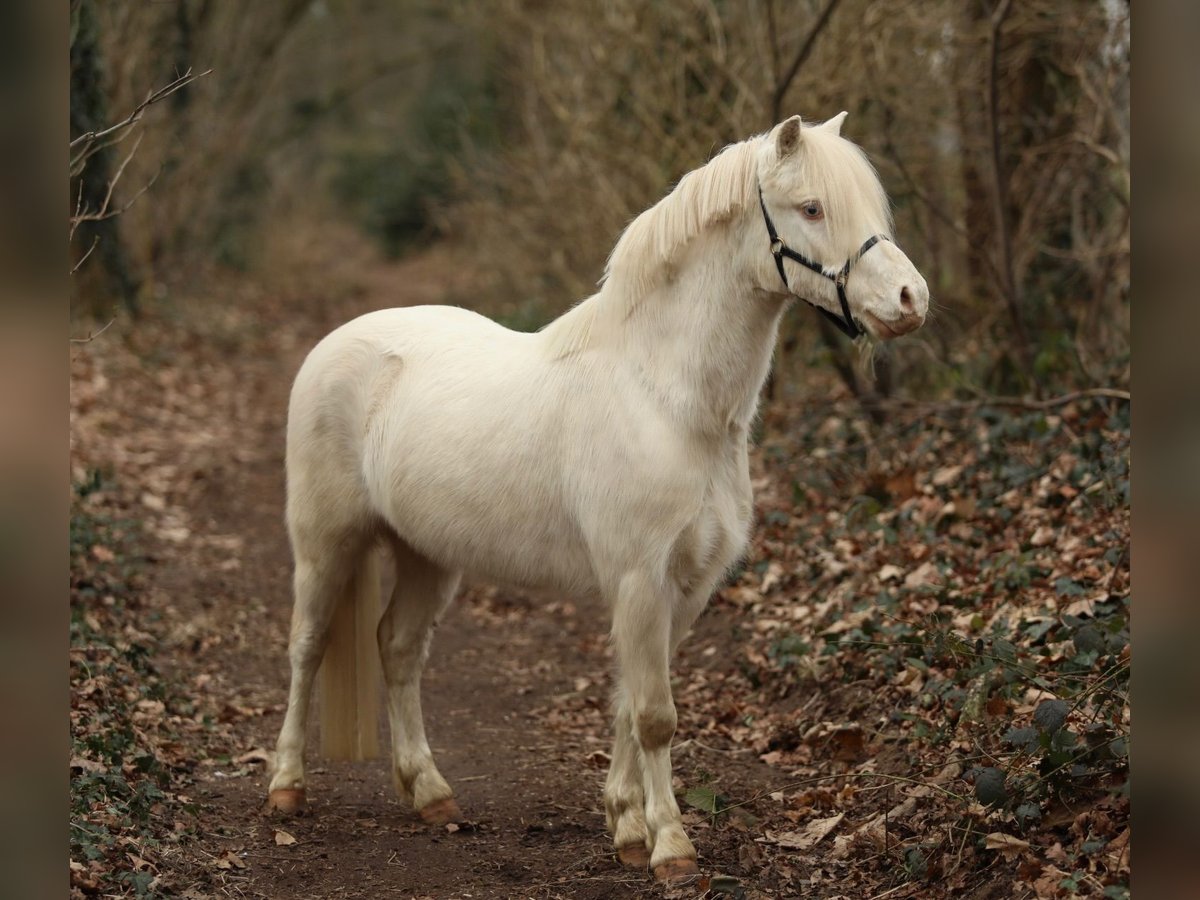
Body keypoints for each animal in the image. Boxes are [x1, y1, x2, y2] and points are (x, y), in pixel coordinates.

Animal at [270, 112, 926, 883]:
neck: (664, 396)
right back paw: (286, 787)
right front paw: (671, 848)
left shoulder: (683, 588)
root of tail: (336, 344)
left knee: (398, 650)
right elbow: (654, 715)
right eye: (813, 208)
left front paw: (627, 828)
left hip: (426, 553)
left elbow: (627, 705)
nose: (911, 301)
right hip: (326, 542)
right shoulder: (640, 578)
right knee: (307, 645)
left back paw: (431, 795)